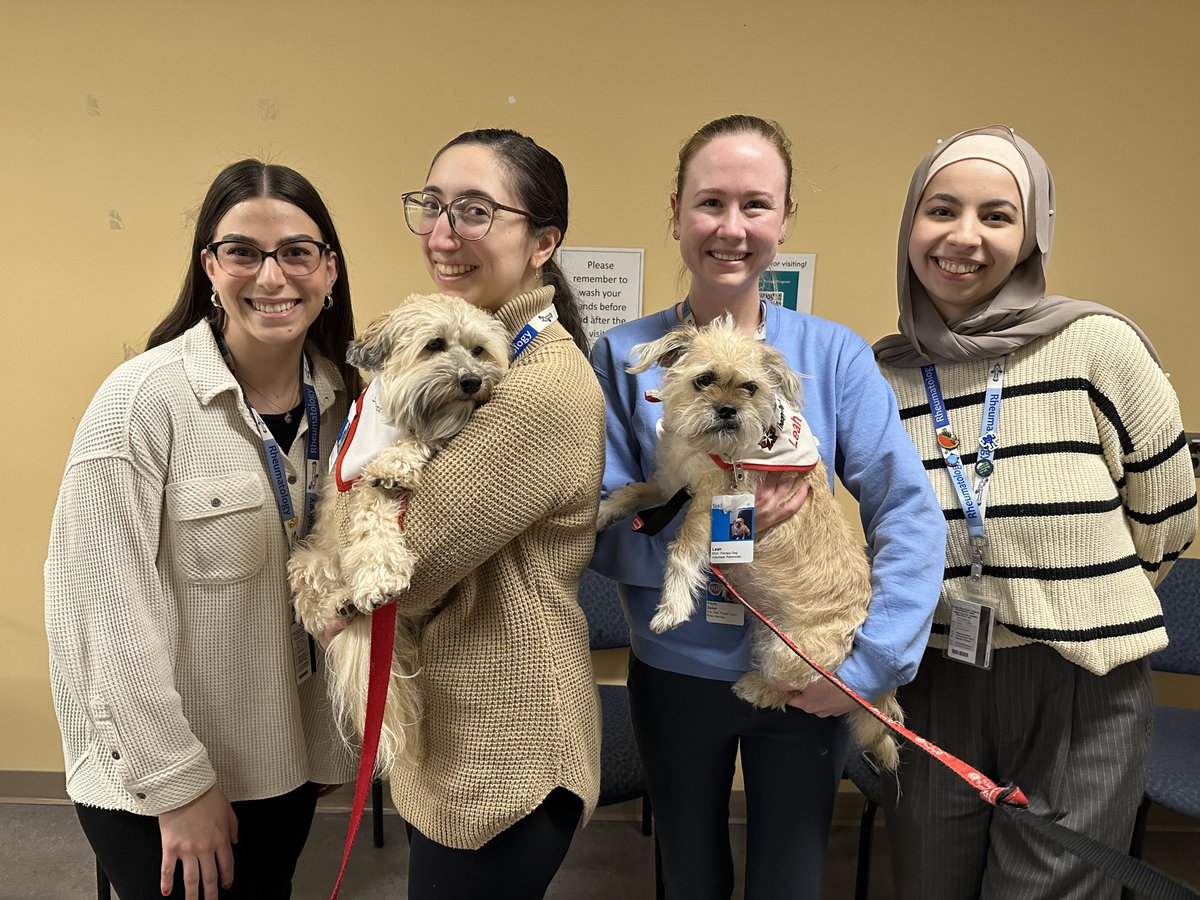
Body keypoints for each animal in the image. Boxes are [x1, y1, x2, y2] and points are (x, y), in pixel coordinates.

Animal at [292, 292, 513, 772]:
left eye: (479, 350)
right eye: (435, 345)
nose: (472, 381)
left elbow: (411, 448)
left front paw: (397, 461)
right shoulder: (353, 487)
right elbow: (370, 517)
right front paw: (377, 578)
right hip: (307, 559)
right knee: (317, 601)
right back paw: (343, 602)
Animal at [597, 316, 902, 768]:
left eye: (750, 388)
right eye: (704, 380)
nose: (728, 410)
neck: (710, 447)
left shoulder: (708, 509)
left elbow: (681, 551)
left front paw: (672, 608)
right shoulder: (668, 485)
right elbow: (630, 492)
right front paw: (601, 512)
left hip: (788, 654)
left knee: (795, 691)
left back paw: (757, 687)